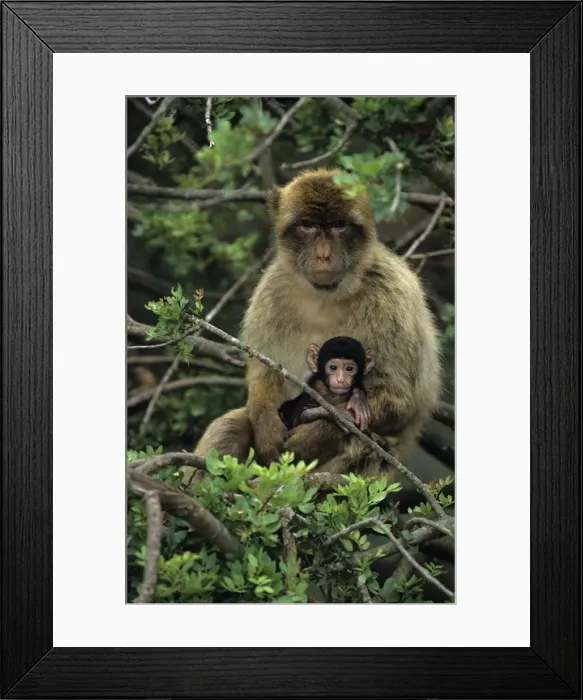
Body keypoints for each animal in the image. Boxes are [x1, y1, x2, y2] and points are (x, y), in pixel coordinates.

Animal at [192, 168, 441, 479]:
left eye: (338, 225)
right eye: (308, 225)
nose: (323, 255)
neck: (328, 294)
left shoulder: (392, 299)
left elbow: (399, 401)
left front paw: (314, 436)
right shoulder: (272, 290)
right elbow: (264, 374)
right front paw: (266, 425)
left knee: (366, 448)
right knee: (231, 425)